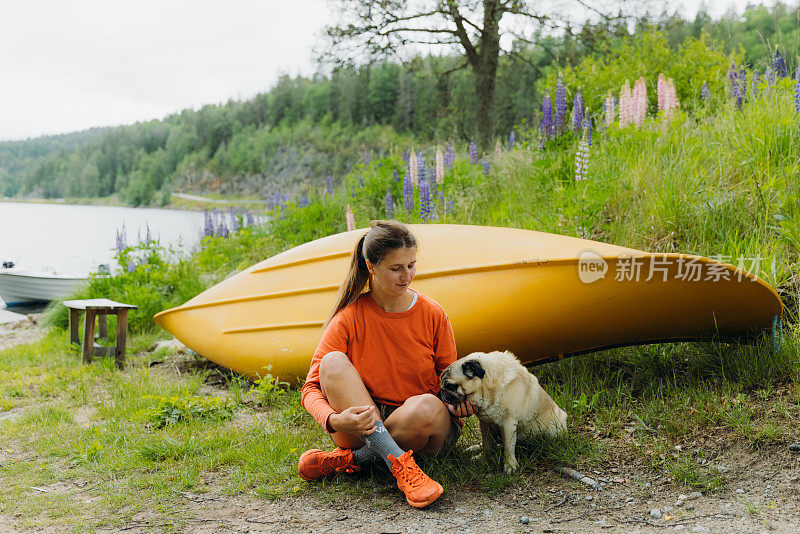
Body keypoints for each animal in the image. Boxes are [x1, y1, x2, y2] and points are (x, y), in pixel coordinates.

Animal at [438, 354, 568, 476]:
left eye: (450, 386)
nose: (442, 392)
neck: (488, 388)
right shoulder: (485, 424)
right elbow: (487, 444)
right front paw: (484, 457)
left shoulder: (508, 424)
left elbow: (508, 448)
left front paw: (510, 466)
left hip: (555, 429)